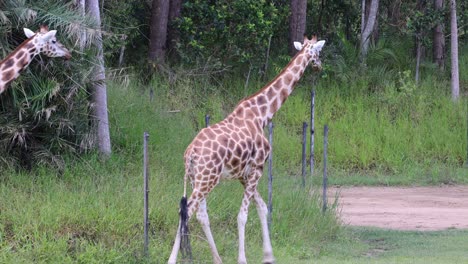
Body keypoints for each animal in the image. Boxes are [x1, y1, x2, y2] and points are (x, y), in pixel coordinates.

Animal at [168, 35, 326, 264]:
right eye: (318, 52)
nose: (319, 66)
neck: (262, 114)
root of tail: (190, 154)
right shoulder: (257, 168)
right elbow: (243, 215)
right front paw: (243, 259)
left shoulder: (244, 174)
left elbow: (262, 207)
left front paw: (269, 256)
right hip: (207, 179)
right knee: (188, 211)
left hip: (197, 178)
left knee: (199, 214)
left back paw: (217, 259)